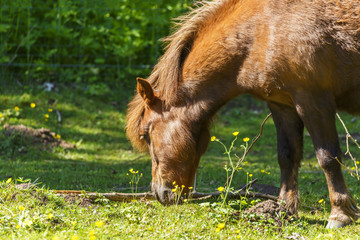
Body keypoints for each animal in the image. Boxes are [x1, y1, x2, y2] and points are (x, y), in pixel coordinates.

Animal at [125, 0, 358, 229]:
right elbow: (287, 156)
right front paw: (283, 210)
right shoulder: (283, 105)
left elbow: (328, 157)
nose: (159, 193)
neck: (261, 30)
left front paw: (340, 214)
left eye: (146, 135)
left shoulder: (313, 101)